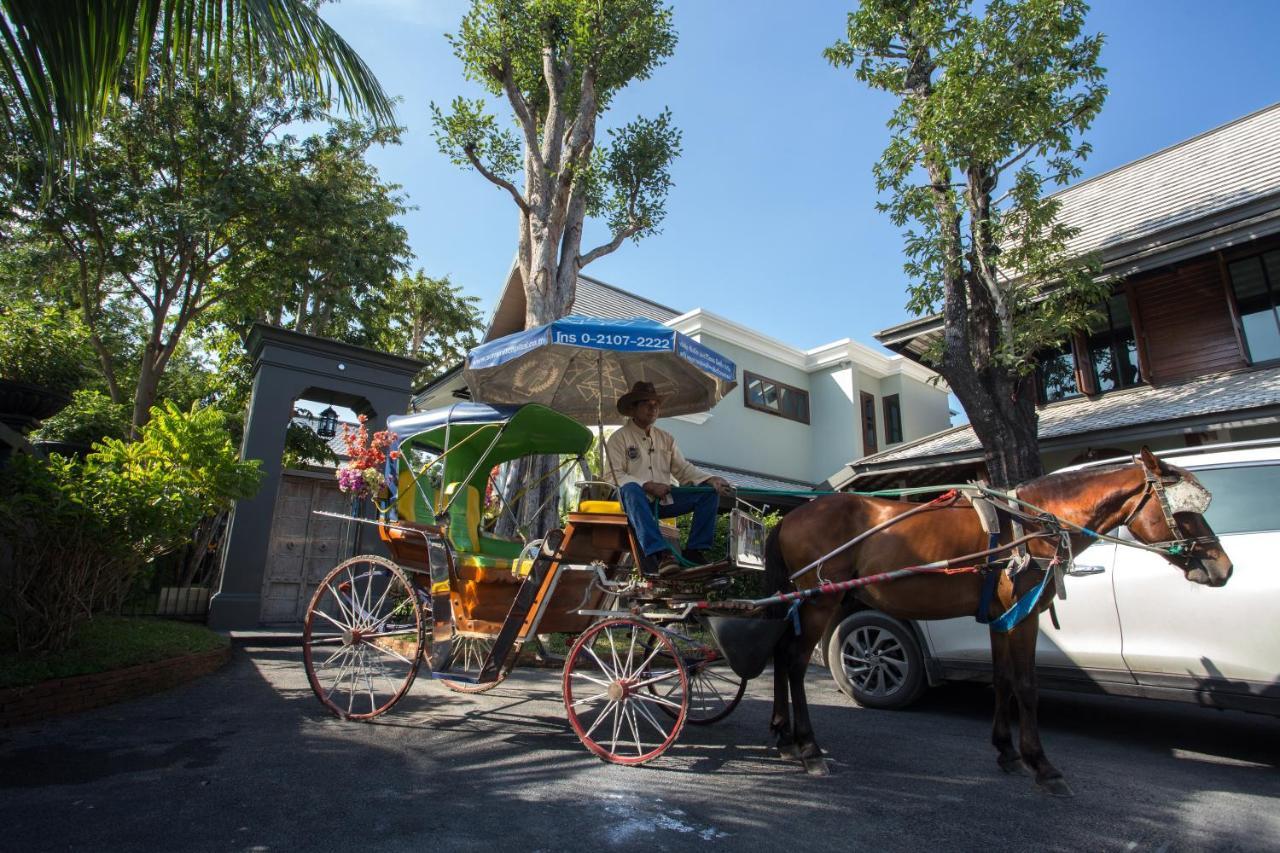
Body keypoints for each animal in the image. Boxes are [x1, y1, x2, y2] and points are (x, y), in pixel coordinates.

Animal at [762, 448, 1233, 794]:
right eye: (1185, 512)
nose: (1223, 567)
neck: (1035, 522)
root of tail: (788, 517)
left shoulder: (999, 615)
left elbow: (1003, 678)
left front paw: (1007, 752)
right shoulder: (1023, 611)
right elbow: (1026, 684)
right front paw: (1042, 765)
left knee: (782, 655)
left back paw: (784, 737)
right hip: (820, 601)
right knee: (795, 662)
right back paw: (808, 747)